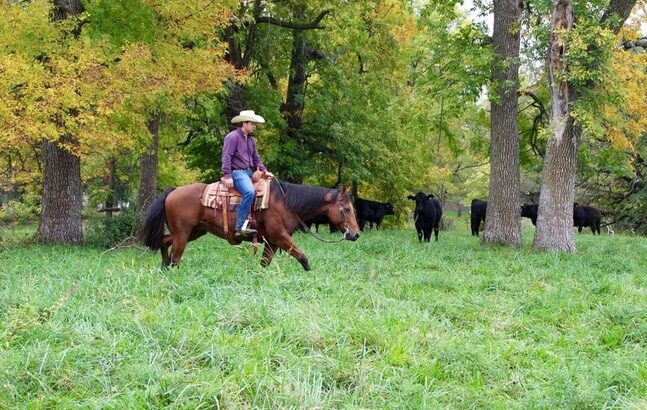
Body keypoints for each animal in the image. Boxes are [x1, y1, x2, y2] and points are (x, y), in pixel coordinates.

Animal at [140, 179, 360, 270]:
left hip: (194, 232)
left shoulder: (272, 242)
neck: (286, 203)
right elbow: (303, 258)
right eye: (347, 209)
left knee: (164, 242)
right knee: (176, 257)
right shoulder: (280, 237)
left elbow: (264, 264)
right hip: (183, 233)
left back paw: (163, 266)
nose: (356, 234)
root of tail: (174, 191)